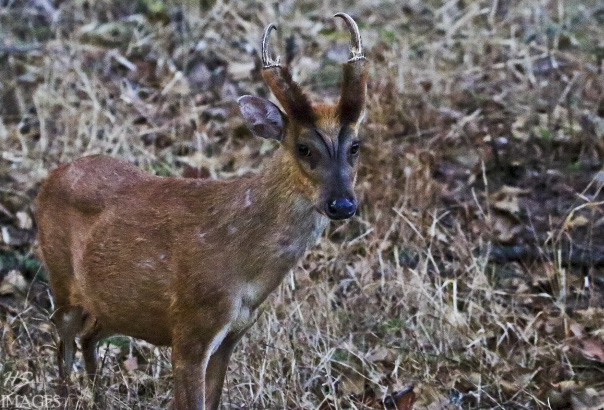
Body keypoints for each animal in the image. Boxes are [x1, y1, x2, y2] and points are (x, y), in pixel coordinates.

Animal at [37, 12, 370, 410]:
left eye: (355, 146)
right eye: (304, 148)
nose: (342, 204)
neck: (247, 270)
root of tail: (50, 178)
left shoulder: (234, 333)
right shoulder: (191, 327)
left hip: (111, 304)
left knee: (88, 336)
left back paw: (98, 396)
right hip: (59, 275)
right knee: (62, 340)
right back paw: (67, 394)